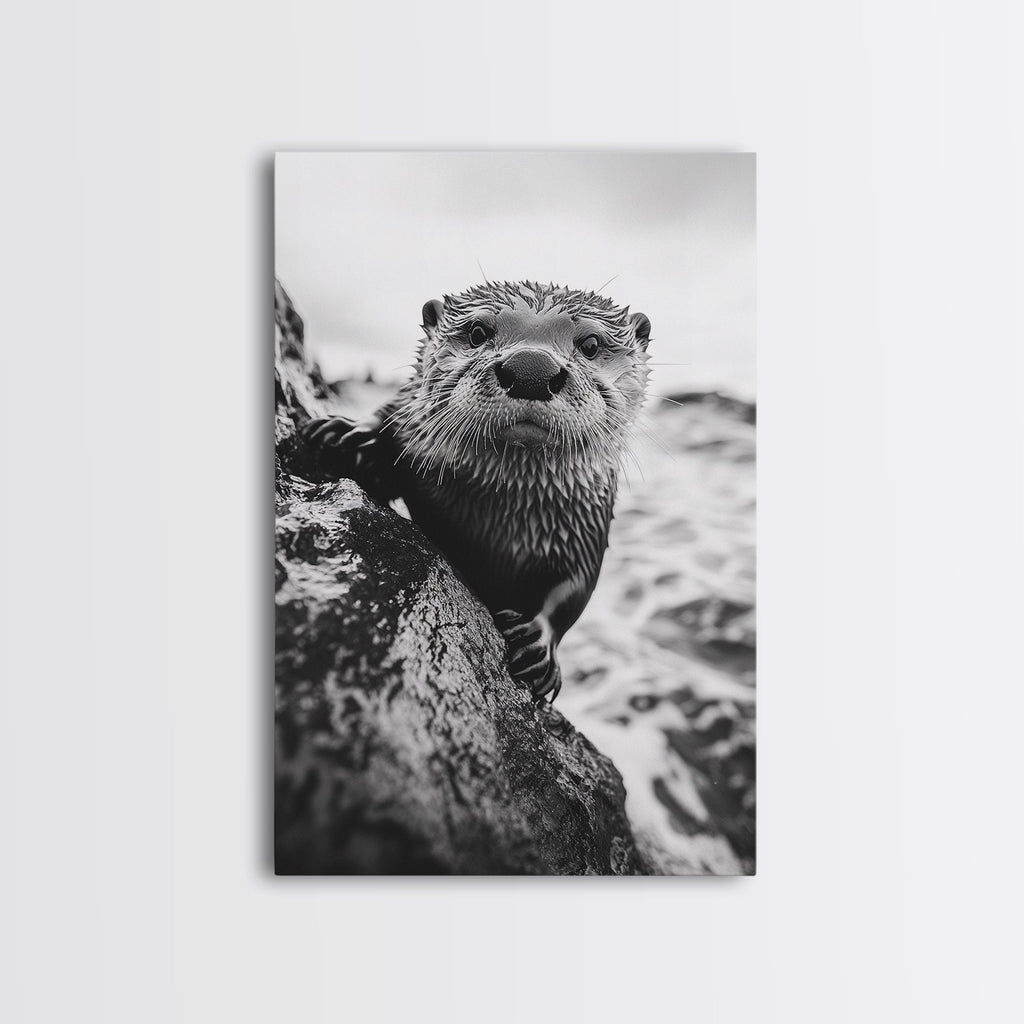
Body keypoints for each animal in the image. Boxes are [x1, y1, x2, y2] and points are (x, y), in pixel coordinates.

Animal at [302, 280, 651, 702]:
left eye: (591, 343)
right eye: (478, 332)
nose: (531, 369)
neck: (498, 516)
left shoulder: (586, 524)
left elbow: (573, 590)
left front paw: (537, 644)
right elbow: (390, 415)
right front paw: (351, 435)